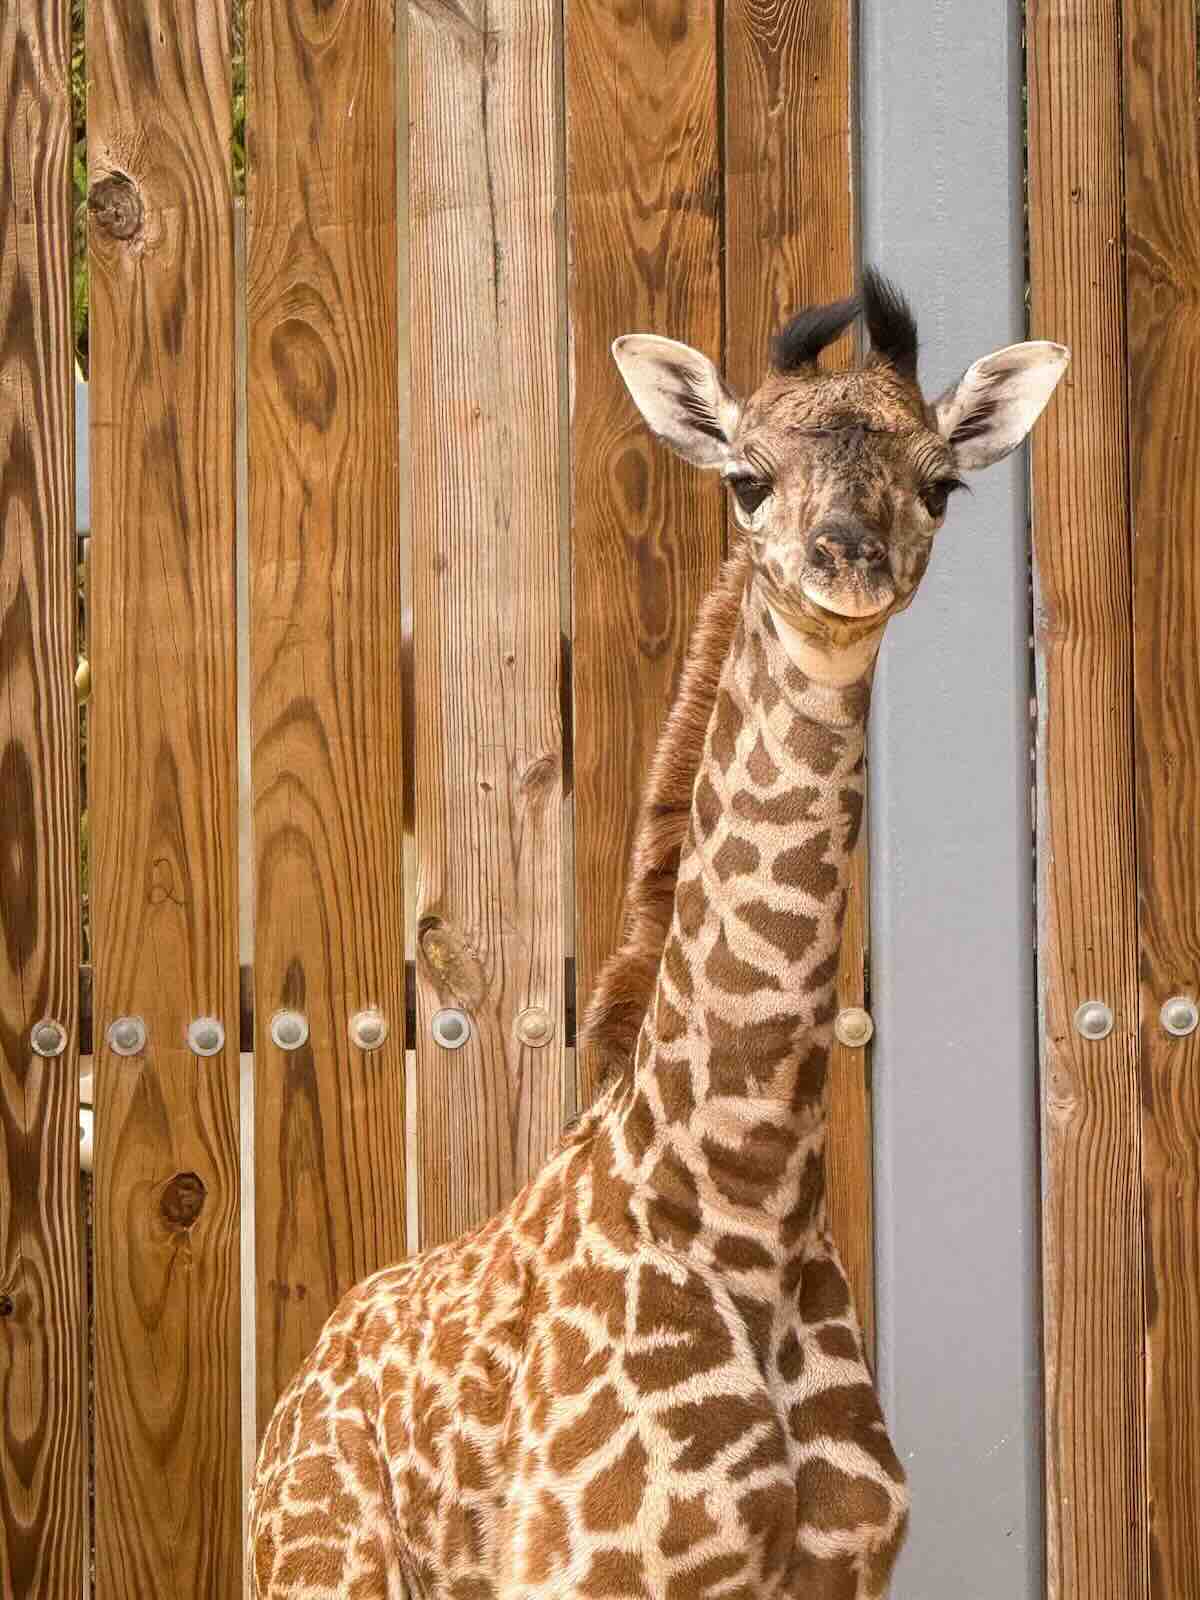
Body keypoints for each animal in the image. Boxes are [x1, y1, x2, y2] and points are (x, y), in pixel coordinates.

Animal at [247, 269, 1068, 1599]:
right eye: (746, 477)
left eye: (942, 480)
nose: (850, 563)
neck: (745, 1192)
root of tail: (305, 1370)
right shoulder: (585, 1568)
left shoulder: (842, 1570)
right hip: (323, 1563)